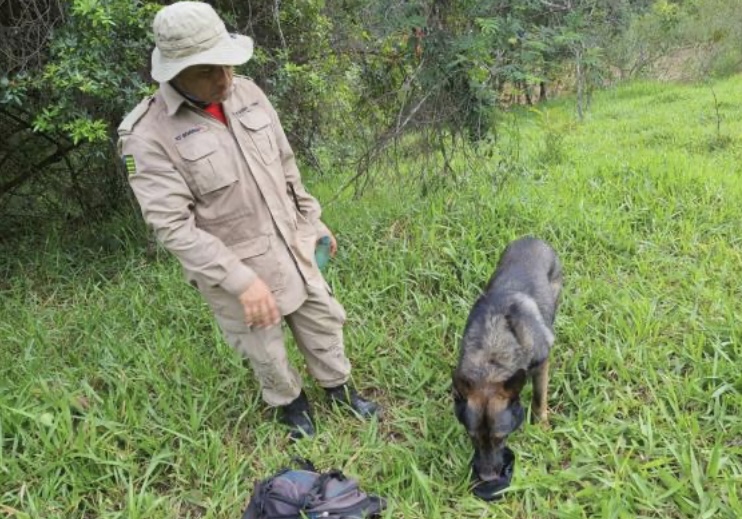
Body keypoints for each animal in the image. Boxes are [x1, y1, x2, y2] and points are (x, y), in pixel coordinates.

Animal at [454, 238, 564, 482]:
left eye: (501, 438)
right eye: (472, 437)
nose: (487, 478)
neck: (492, 358)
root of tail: (533, 238)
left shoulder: (541, 364)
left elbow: (539, 397)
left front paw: (541, 425)